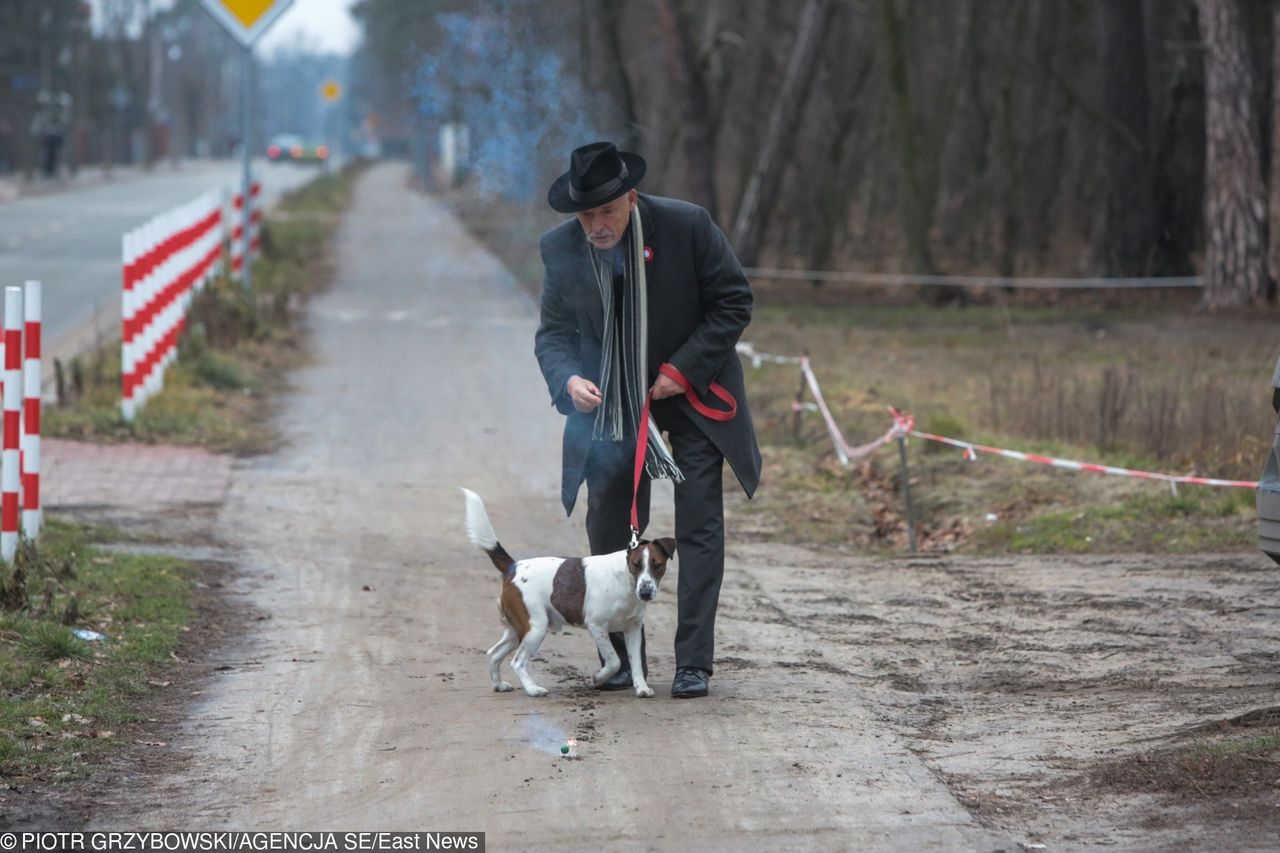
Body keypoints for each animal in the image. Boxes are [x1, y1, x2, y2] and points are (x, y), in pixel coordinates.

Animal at [465, 489, 675, 696]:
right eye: (636, 564)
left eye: (657, 565)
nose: (645, 593)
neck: (626, 580)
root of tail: (513, 566)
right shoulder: (596, 626)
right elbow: (614, 661)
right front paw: (599, 676)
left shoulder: (633, 629)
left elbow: (636, 663)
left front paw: (641, 687)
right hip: (535, 627)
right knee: (517, 662)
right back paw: (533, 689)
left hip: (518, 630)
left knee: (493, 653)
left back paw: (499, 684)